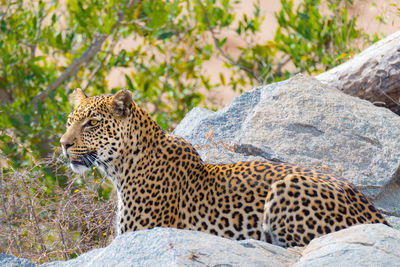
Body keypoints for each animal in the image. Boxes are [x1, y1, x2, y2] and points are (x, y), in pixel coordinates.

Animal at [61, 89, 390, 248]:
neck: (122, 167)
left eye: (91, 123)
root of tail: (374, 213)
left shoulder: (142, 231)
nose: (63, 144)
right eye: (69, 121)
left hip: (288, 187)